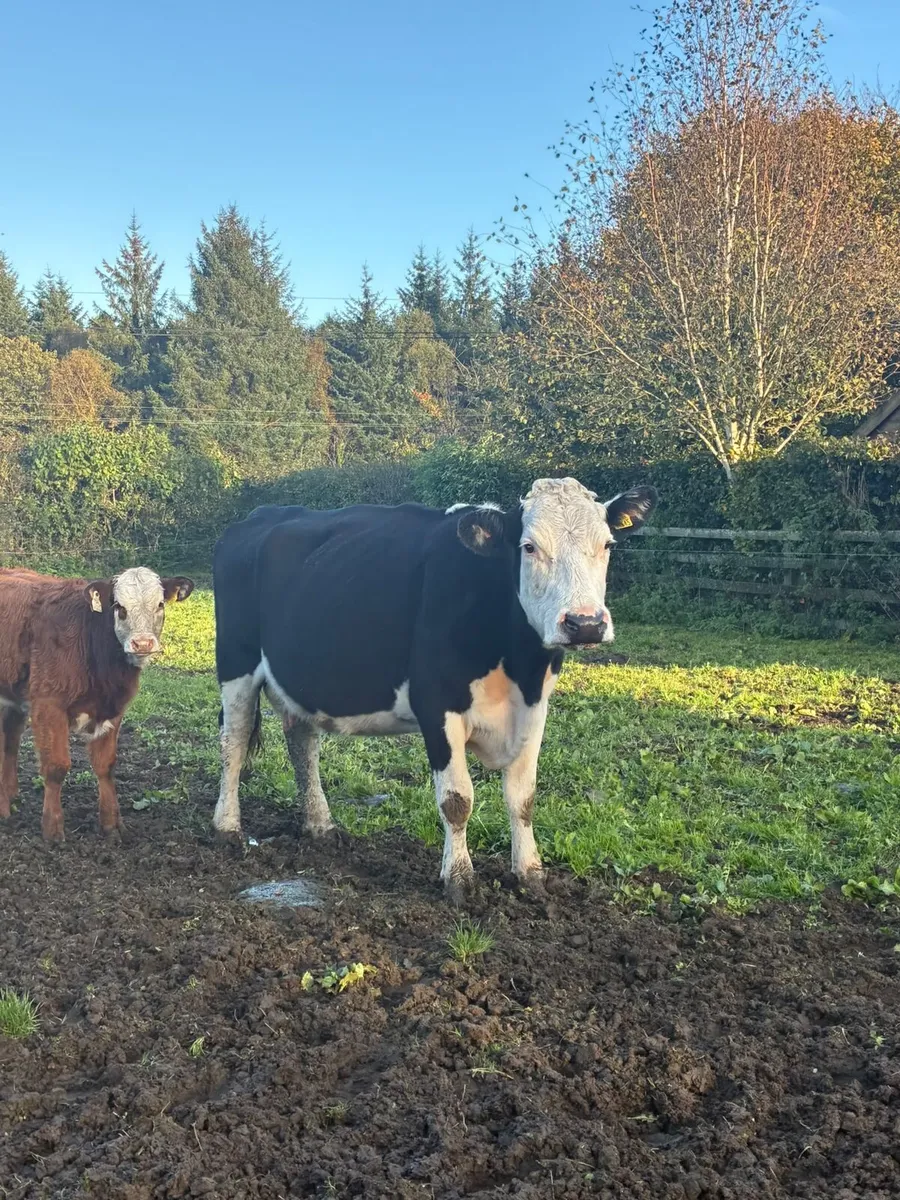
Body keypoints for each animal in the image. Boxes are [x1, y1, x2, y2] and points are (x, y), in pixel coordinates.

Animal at [0, 566, 194, 842]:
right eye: (119, 607)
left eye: (159, 604)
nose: (142, 643)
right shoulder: (48, 705)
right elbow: (56, 767)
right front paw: (52, 829)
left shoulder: (113, 710)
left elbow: (106, 765)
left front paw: (111, 823)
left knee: (10, 740)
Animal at [212, 478, 657, 901]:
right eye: (529, 547)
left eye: (607, 544)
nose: (585, 623)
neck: (518, 666)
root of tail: (260, 516)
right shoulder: (437, 705)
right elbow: (457, 800)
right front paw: (459, 881)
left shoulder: (535, 707)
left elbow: (524, 798)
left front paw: (530, 875)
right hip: (236, 664)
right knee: (234, 742)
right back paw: (227, 826)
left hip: (299, 680)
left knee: (303, 745)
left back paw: (320, 826)